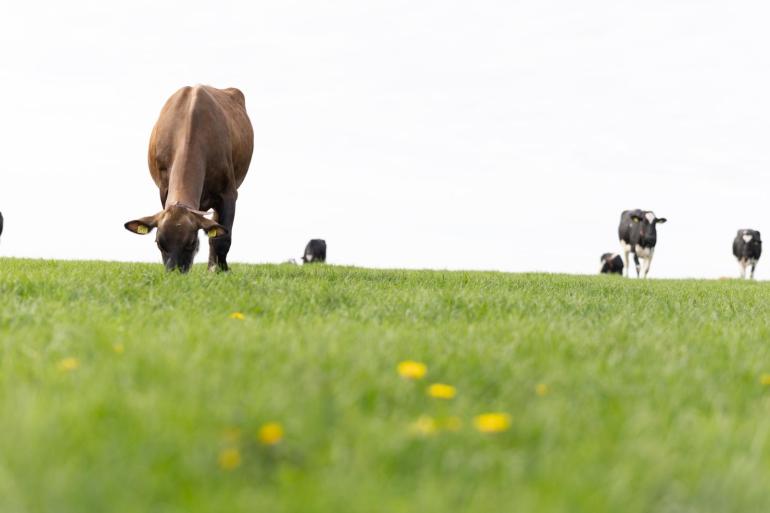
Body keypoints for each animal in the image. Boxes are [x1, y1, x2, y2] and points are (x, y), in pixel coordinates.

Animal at [124, 86, 254, 272]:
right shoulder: (163, 189)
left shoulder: (228, 193)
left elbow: (222, 238)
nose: (175, 272)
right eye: (159, 243)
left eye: (191, 243)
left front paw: (222, 270)